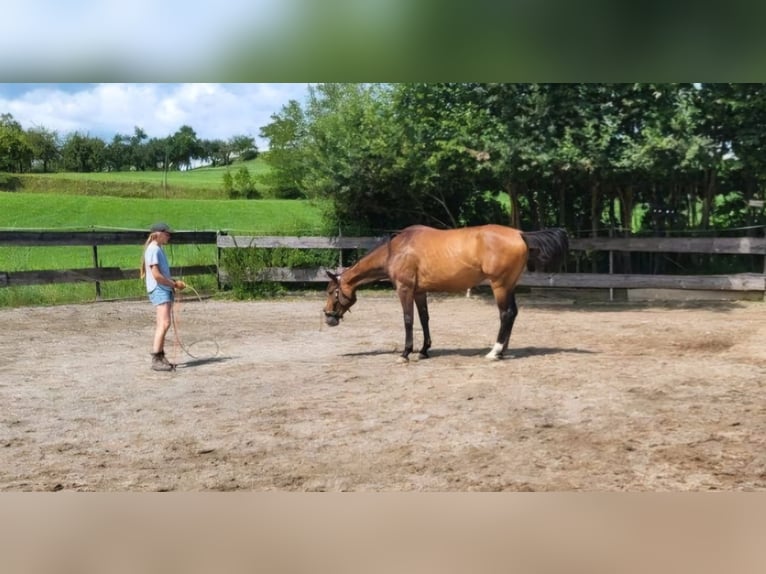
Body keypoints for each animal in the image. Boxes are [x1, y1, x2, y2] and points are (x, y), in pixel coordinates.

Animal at [324, 224, 568, 362]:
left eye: (331, 291)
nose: (328, 317)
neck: (397, 250)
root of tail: (520, 234)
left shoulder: (404, 289)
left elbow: (408, 320)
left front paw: (405, 353)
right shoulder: (419, 292)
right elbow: (424, 319)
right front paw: (424, 350)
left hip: (499, 285)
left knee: (505, 314)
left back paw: (494, 352)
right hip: (509, 285)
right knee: (513, 313)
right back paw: (503, 350)